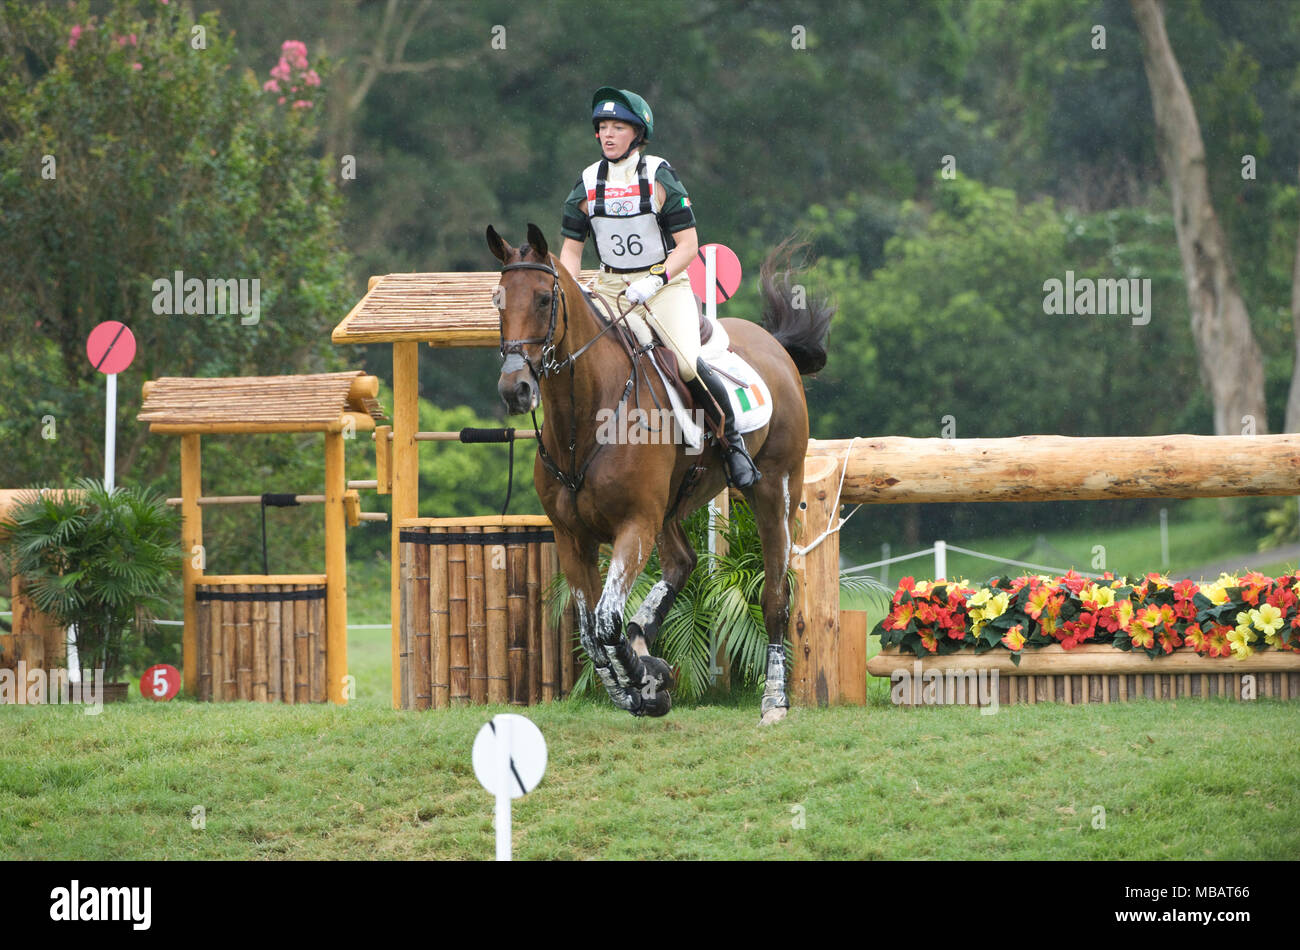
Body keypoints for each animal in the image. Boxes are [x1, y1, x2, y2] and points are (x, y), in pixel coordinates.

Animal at [488, 224, 832, 727]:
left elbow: (606, 622)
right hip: (671, 506)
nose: (515, 389)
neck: (583, 422)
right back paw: (645, 644)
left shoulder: (635, 525)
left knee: (775, 596)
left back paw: (774, 700)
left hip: (774, 487)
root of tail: (773, 345)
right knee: (682, 562)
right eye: (498, 301)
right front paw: (639, 686)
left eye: (544, 299)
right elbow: (592, 634)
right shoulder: (571, 535)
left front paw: (644, 681)